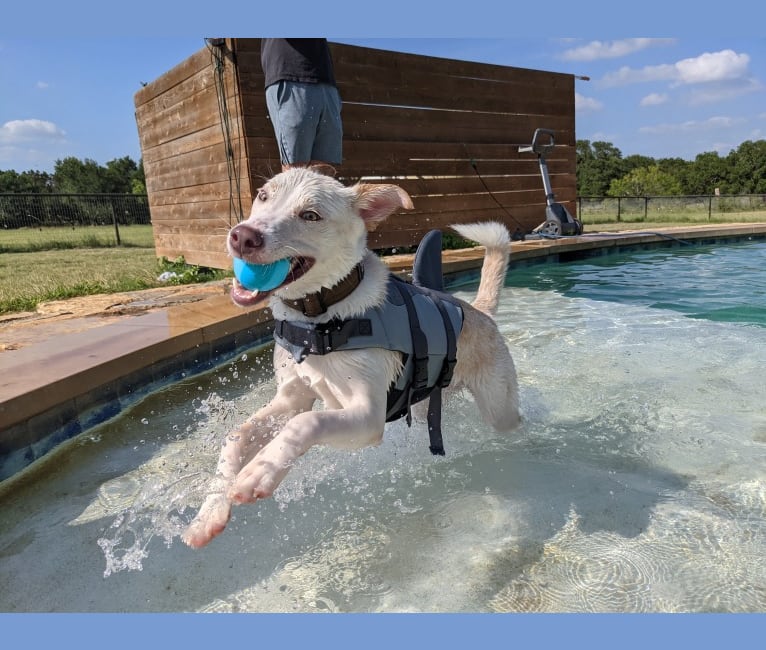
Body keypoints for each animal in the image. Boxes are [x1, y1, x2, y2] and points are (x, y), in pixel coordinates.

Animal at [184, 165, 520, 544]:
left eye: (310, 215)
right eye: (263, 196)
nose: (242, 237)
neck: (321, 318)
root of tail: (480, 311)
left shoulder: (369, 417)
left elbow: (307, 422)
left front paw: (261, 471)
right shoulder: (290, 398)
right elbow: (237, 436)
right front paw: (209, 511)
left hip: (499, 408)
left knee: (513, 418)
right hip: (424, 406)